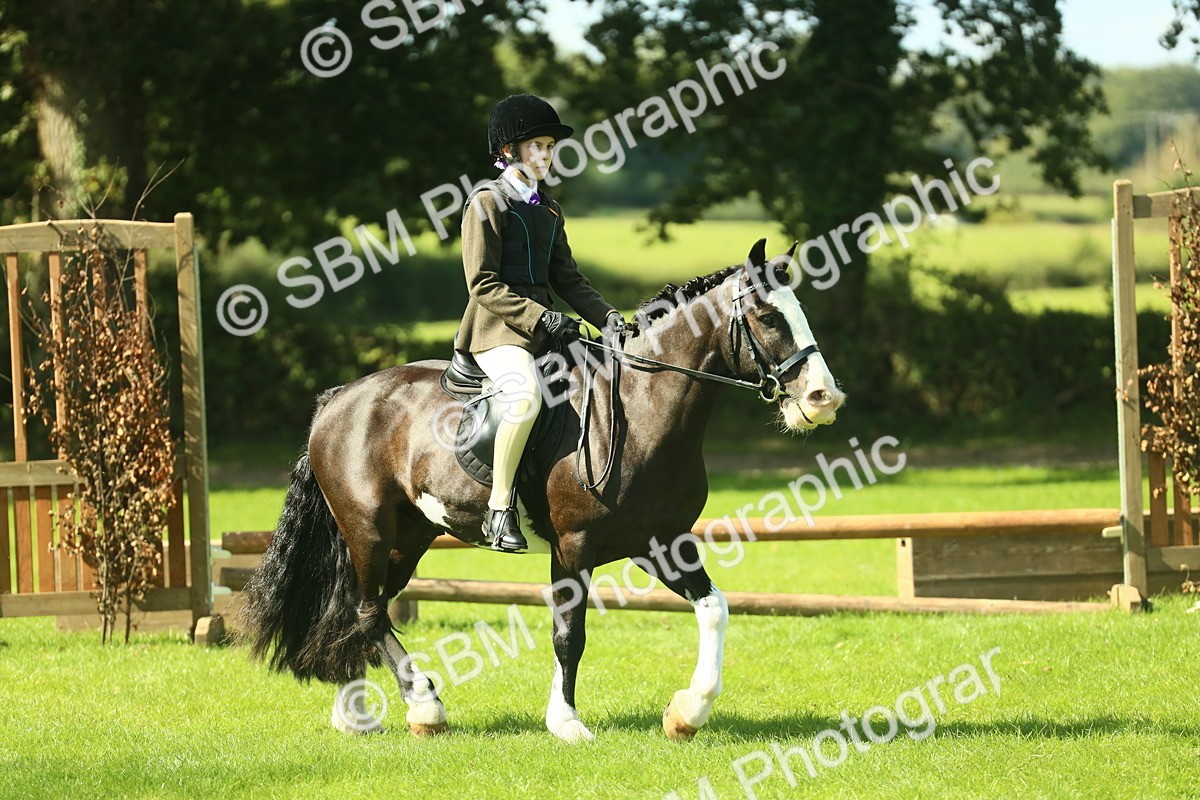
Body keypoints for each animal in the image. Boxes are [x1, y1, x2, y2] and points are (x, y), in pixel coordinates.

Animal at [239, 238, 845, 743]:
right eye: (767, 316)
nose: (824, 398)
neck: (645, 410)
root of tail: (340, 398)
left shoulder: (660, 542)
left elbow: (715, 608)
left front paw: (686, 713)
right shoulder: (574, 547)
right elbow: (568, 634)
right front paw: (567, 723)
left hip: (407, 537)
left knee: (361, 610)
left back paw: (358, 712)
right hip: (367, 529)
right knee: (366, 611)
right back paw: (425, 708)